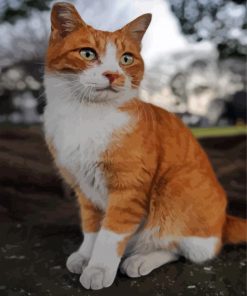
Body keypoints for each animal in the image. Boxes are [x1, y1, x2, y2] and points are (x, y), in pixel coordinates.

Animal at [43, 1, 246, 290]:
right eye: (87, 53)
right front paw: (85, 255)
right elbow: (92, 227)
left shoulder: (129, 190)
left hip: (174, 192)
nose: (112, 75)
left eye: (126, 59)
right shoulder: (84, 189)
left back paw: (140, 260)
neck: (85, 116)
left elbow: (110, 234)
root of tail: (225, 221)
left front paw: (99, 267)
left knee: (179, 249)